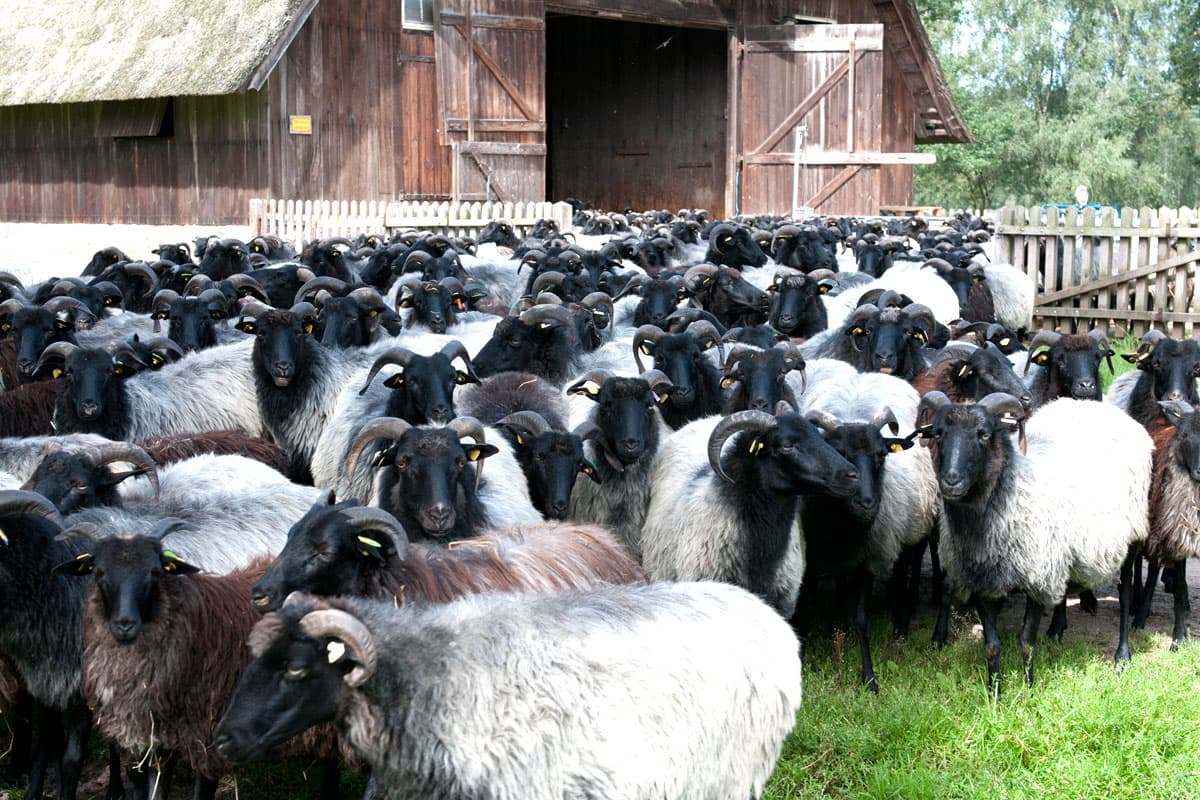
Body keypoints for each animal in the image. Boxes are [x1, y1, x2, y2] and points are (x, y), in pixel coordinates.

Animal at [916, 391, 1152, 690]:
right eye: (938, 434)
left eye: (984, 434)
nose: (951, 481)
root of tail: (1097, 406)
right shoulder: (981, 579)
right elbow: (991, 646)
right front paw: (995, 693)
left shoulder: (1038, 576)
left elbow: (1027, 642)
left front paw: (1028, 690)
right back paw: (1056, 631)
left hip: (1131, 534)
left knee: (1124, 594)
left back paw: (1122, 656)